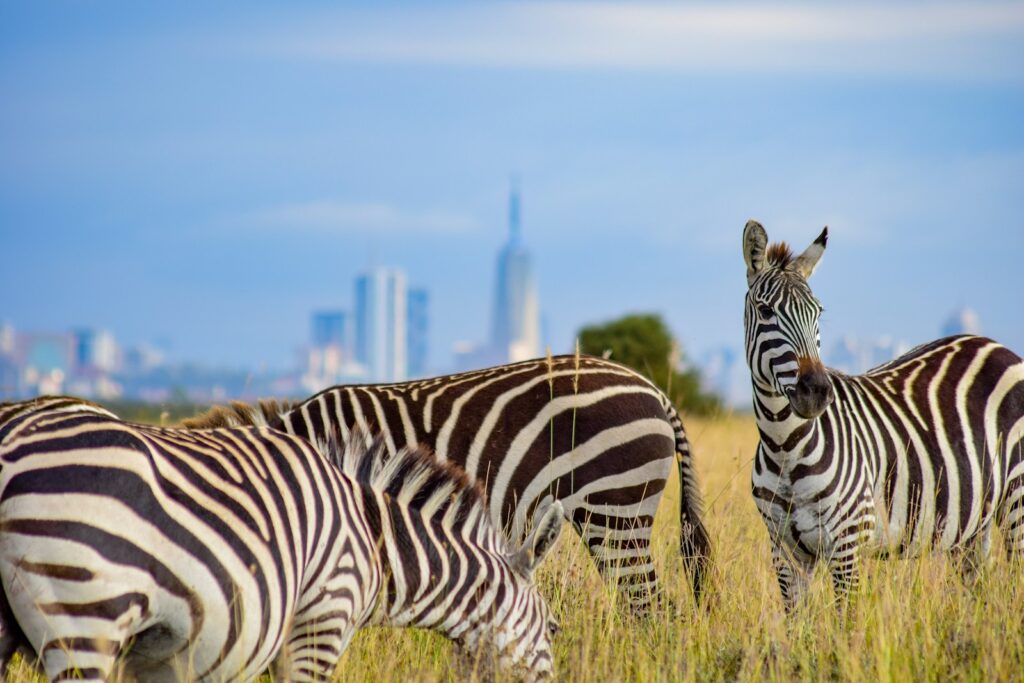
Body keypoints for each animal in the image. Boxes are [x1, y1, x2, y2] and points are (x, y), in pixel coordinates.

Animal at [741, 219, 1024, 610]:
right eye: (766, 311)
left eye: (818, 313)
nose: (817, 392)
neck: (784, 446)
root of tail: (995, 345)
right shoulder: (785, 551)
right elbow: (799, 624)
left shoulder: (847, 542)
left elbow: (845, 621)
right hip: (973, 522)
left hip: (1017, 498)